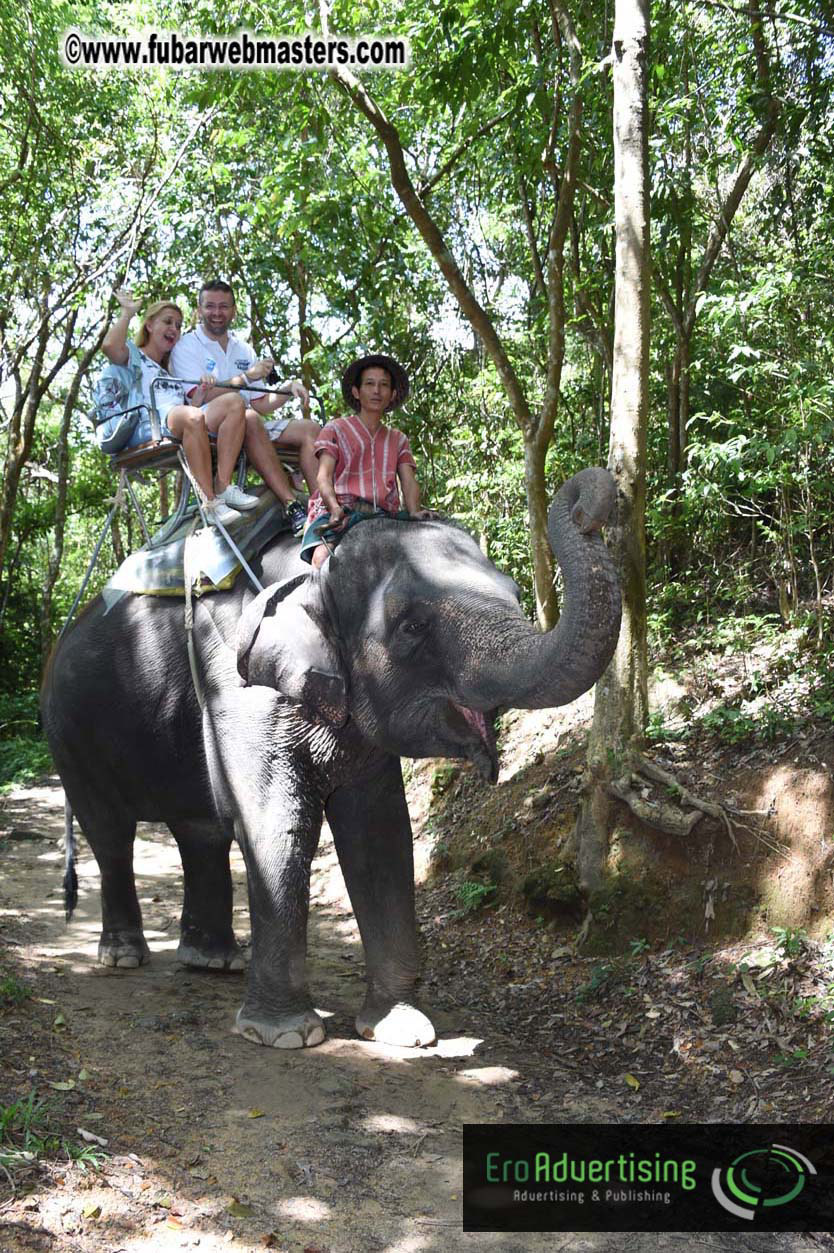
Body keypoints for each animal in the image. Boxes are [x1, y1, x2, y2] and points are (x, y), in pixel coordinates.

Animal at [41, 468, 621, 1050]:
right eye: (412, 627)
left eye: (517, 594)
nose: (589, 505)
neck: (314, 570)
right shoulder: (239, 682)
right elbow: (278, 825)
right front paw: (286, 1036)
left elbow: (380, 831)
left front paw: (403, 1031)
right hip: (70, 733)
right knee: (110, 832)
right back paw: (123, 956)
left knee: (200, 832)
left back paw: (212, 961)